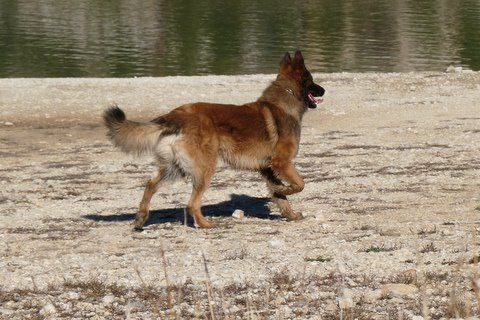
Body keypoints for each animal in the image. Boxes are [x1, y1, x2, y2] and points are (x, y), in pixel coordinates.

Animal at [103, 50, 324, 230]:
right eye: (312, 81)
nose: (324, 90)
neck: (286, 98)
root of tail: (175, 116)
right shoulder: (281, 163)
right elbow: (300, 184)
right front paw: (284, 190)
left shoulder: (268, 169)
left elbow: (282, 197)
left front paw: (290, 213)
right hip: (205, 168)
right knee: (191, 203)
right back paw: (205, 224)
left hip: (175, 168)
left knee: (150, 185)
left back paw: (141, 218)